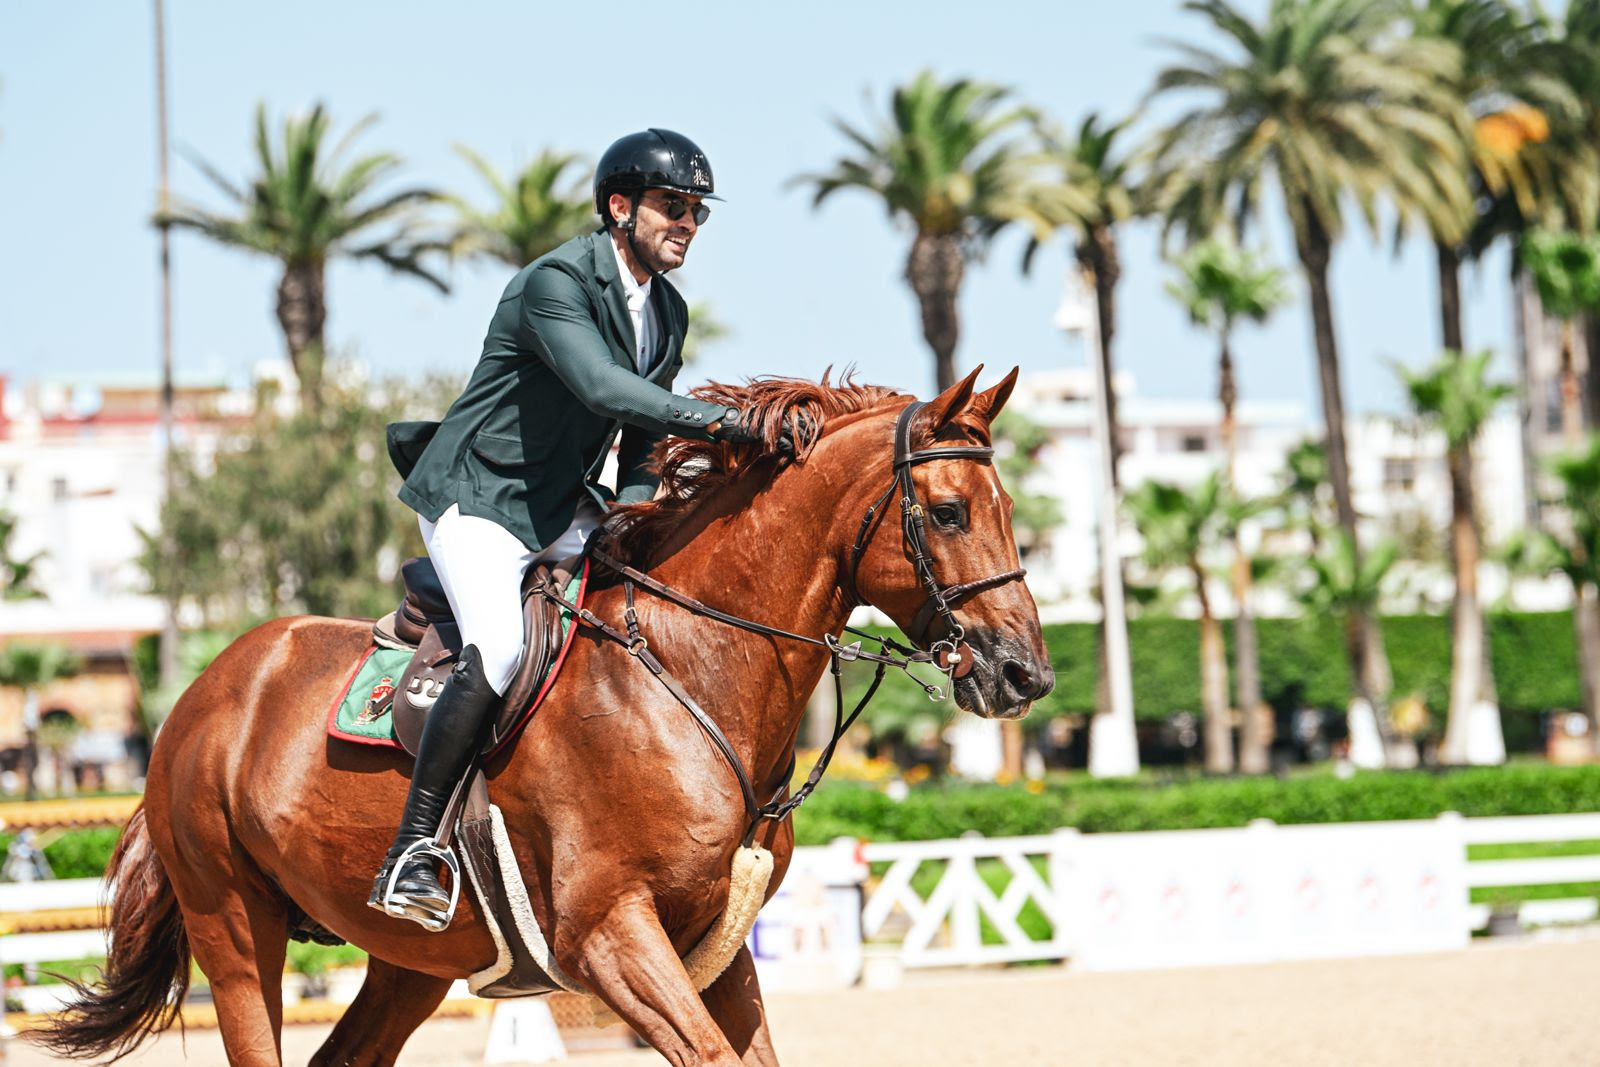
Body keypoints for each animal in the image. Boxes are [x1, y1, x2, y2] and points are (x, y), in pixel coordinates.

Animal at [38, 366, 1054, 1066]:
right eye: (950, 512)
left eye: (1012, 511)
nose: (1025, 674)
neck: (689, 669)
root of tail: (206, 690)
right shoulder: (610, 934)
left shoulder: (715, 946)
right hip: (235, 927)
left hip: (411, 961)